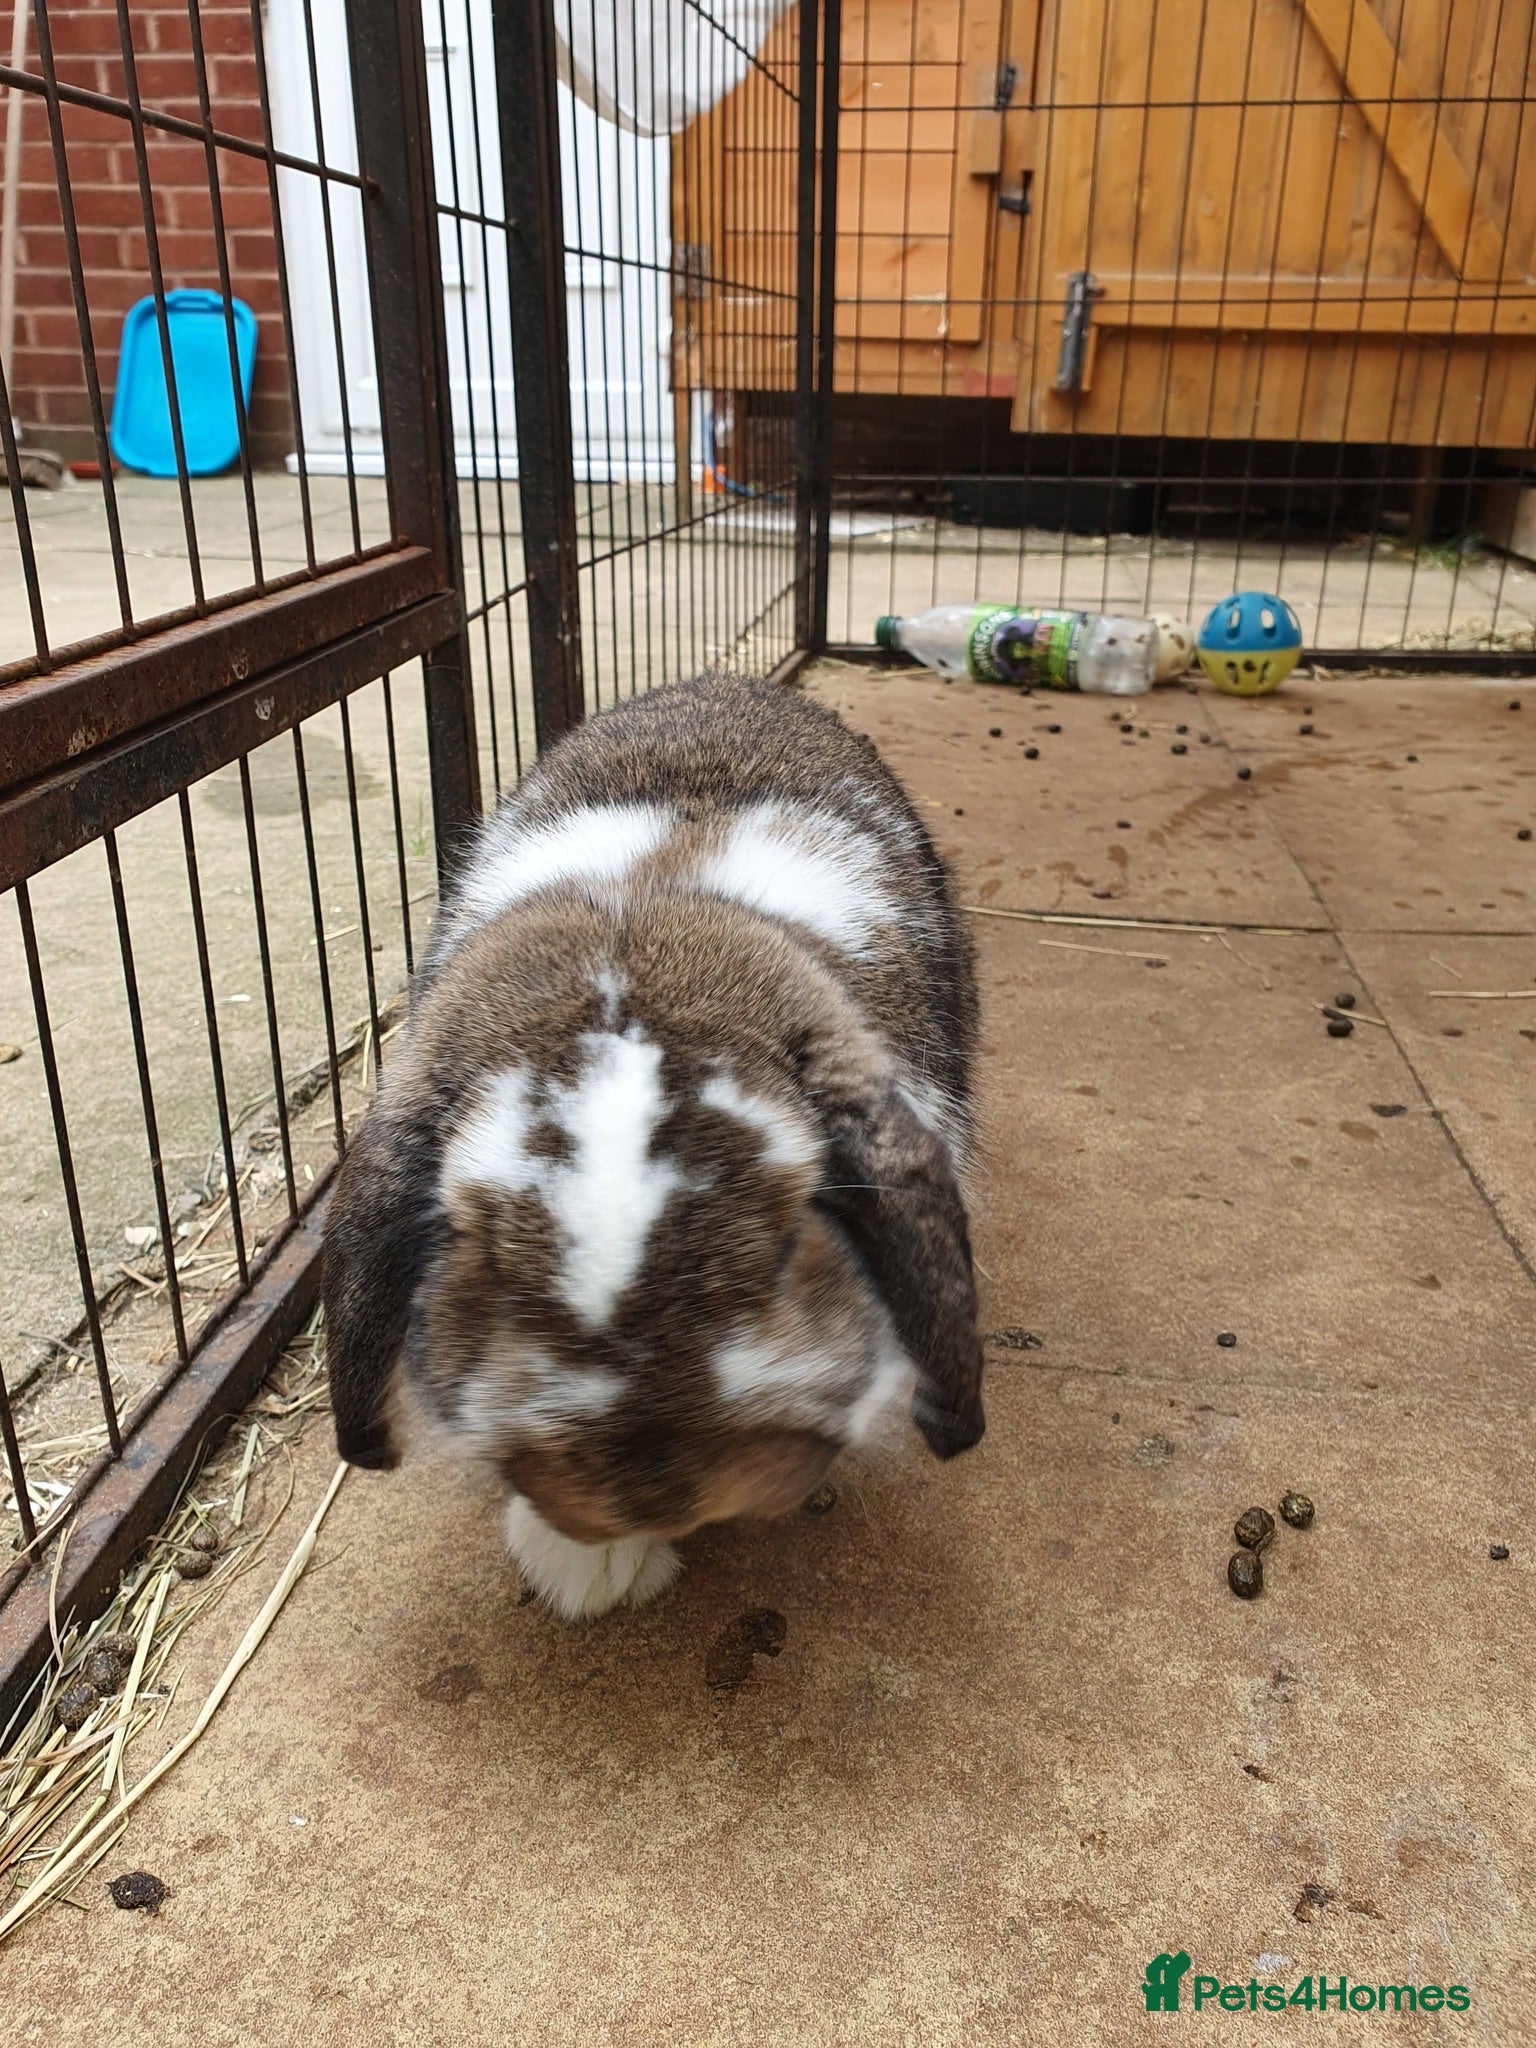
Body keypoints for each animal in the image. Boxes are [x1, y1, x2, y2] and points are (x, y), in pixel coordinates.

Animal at [322, 672, 985, 1619]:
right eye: (486, 1260)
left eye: (785, 1244)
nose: (651, 1493)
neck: (646, 921)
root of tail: (729, 682)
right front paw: (583, 1570)